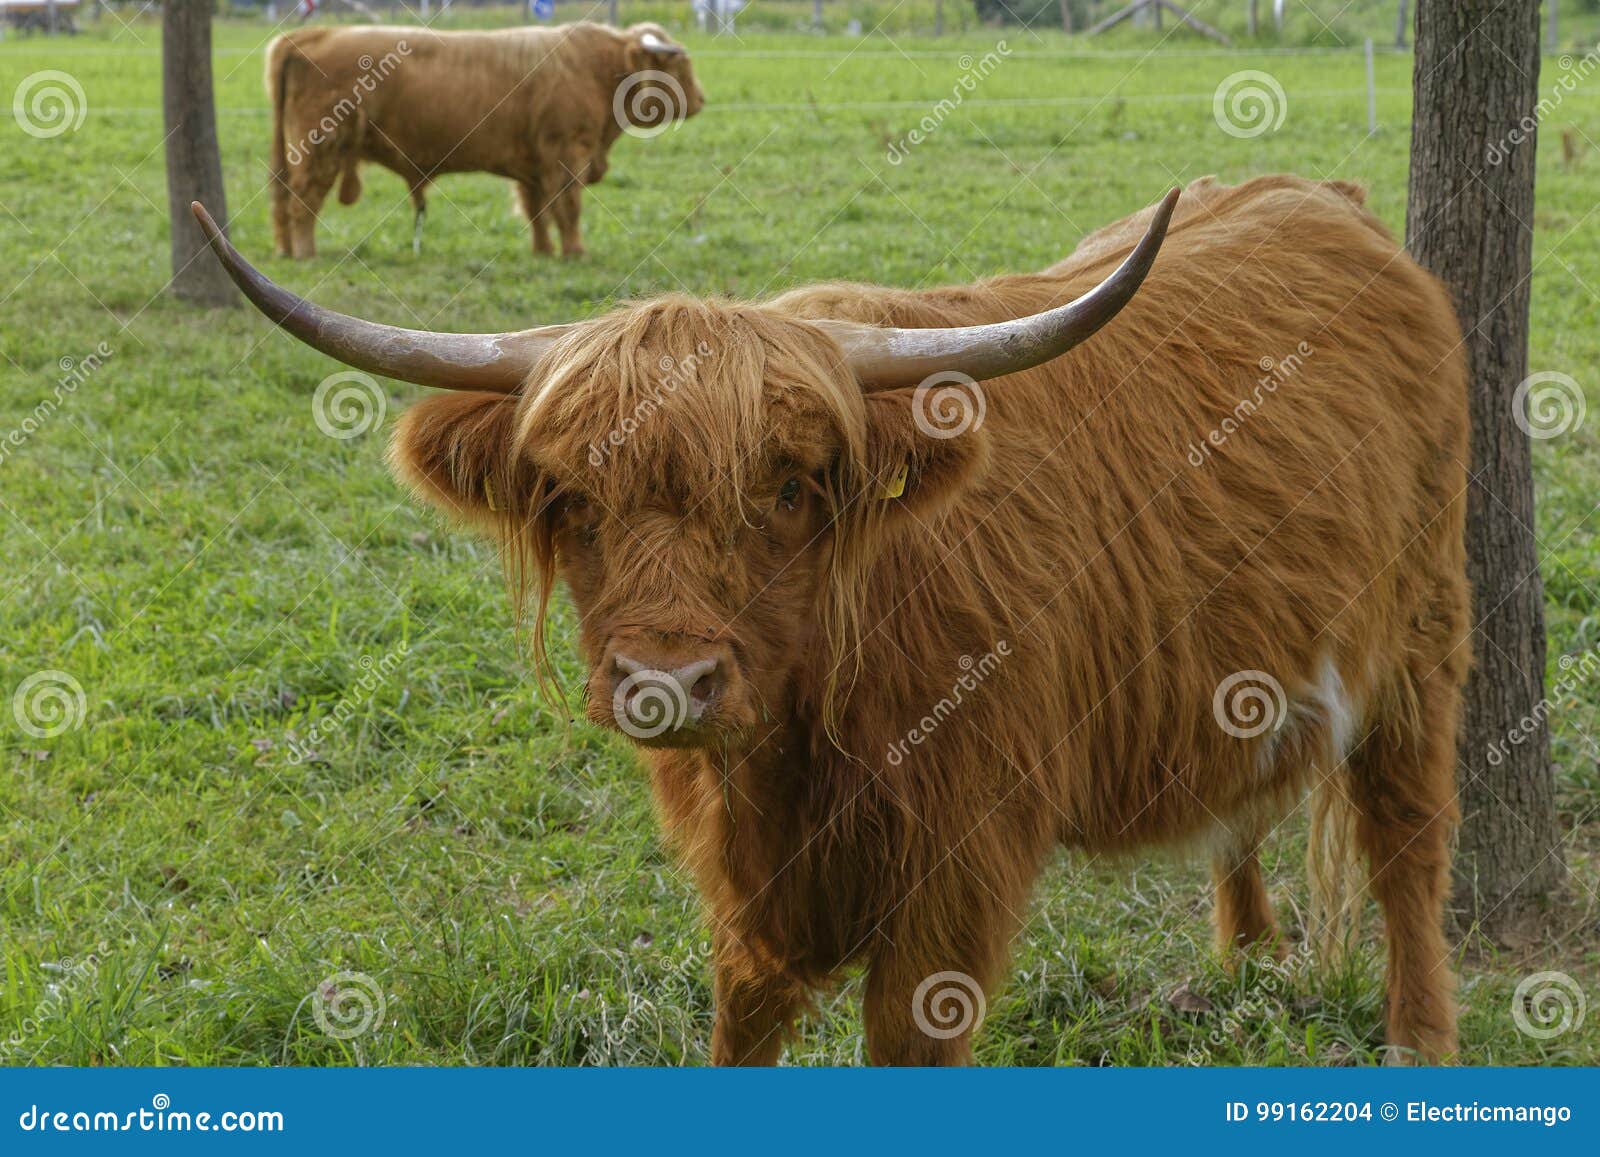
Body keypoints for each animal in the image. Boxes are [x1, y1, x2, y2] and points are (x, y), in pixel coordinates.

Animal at [192, 173, 1469, 1065]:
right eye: (574, 501)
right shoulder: (746, 892)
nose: (666, 680)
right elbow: (740, 1025)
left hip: (1421, 635)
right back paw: (1243, 959)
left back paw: (1419, 1041)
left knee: (1408, 840)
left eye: (790, 490)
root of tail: (1323, 202)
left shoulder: (951, 888)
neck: (801, 737)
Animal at [265, 21, 704, 259]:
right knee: (302, 200)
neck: (597, 69)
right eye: (679, 63)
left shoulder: (535, 165)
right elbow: (568, 207)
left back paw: (286, 249)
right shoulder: (566, 156)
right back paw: (306, 252)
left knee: (283, 199)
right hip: (320, 147)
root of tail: (311, 34)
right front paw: (575, 252)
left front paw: (544, 252)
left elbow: (537, 210)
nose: (701, 99)